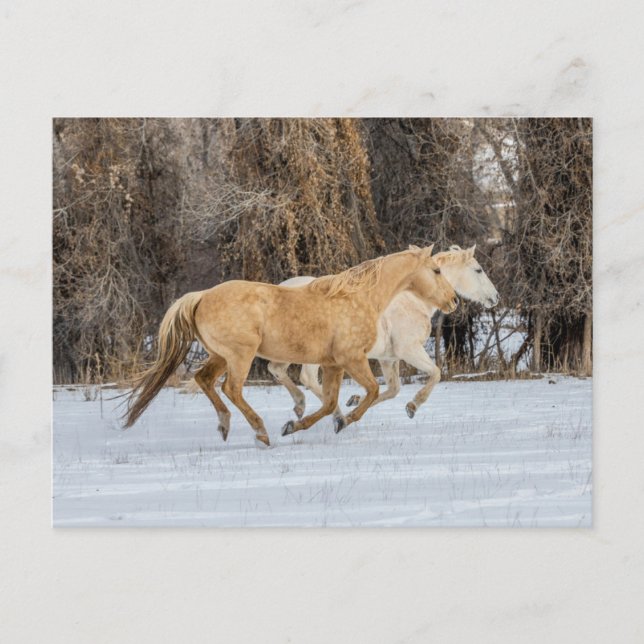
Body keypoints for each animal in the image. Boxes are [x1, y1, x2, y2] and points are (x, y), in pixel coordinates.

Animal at [124, 245, 458, 447]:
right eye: (437, 271)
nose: (454, 300)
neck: (359, 298)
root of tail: (202, 296)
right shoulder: (352, 359)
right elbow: (372, 392)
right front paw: (344, 420)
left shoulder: (333, 364)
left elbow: (329, 403)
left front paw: (299, 425)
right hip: (240, 356)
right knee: (231, 389)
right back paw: (260, 432)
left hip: (219, 355)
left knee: (204, 379)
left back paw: (225, 426)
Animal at [270, 245, 498, 421]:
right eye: (478, 270)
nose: (495, 297)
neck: (413, 301)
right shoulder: (409, 350)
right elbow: (435, 373)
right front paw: (412, 406)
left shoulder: (389, 358)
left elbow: (392, 389)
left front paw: (354, 401)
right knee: (306, 377)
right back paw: (334, 414)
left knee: (277, 370)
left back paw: (305, 407)